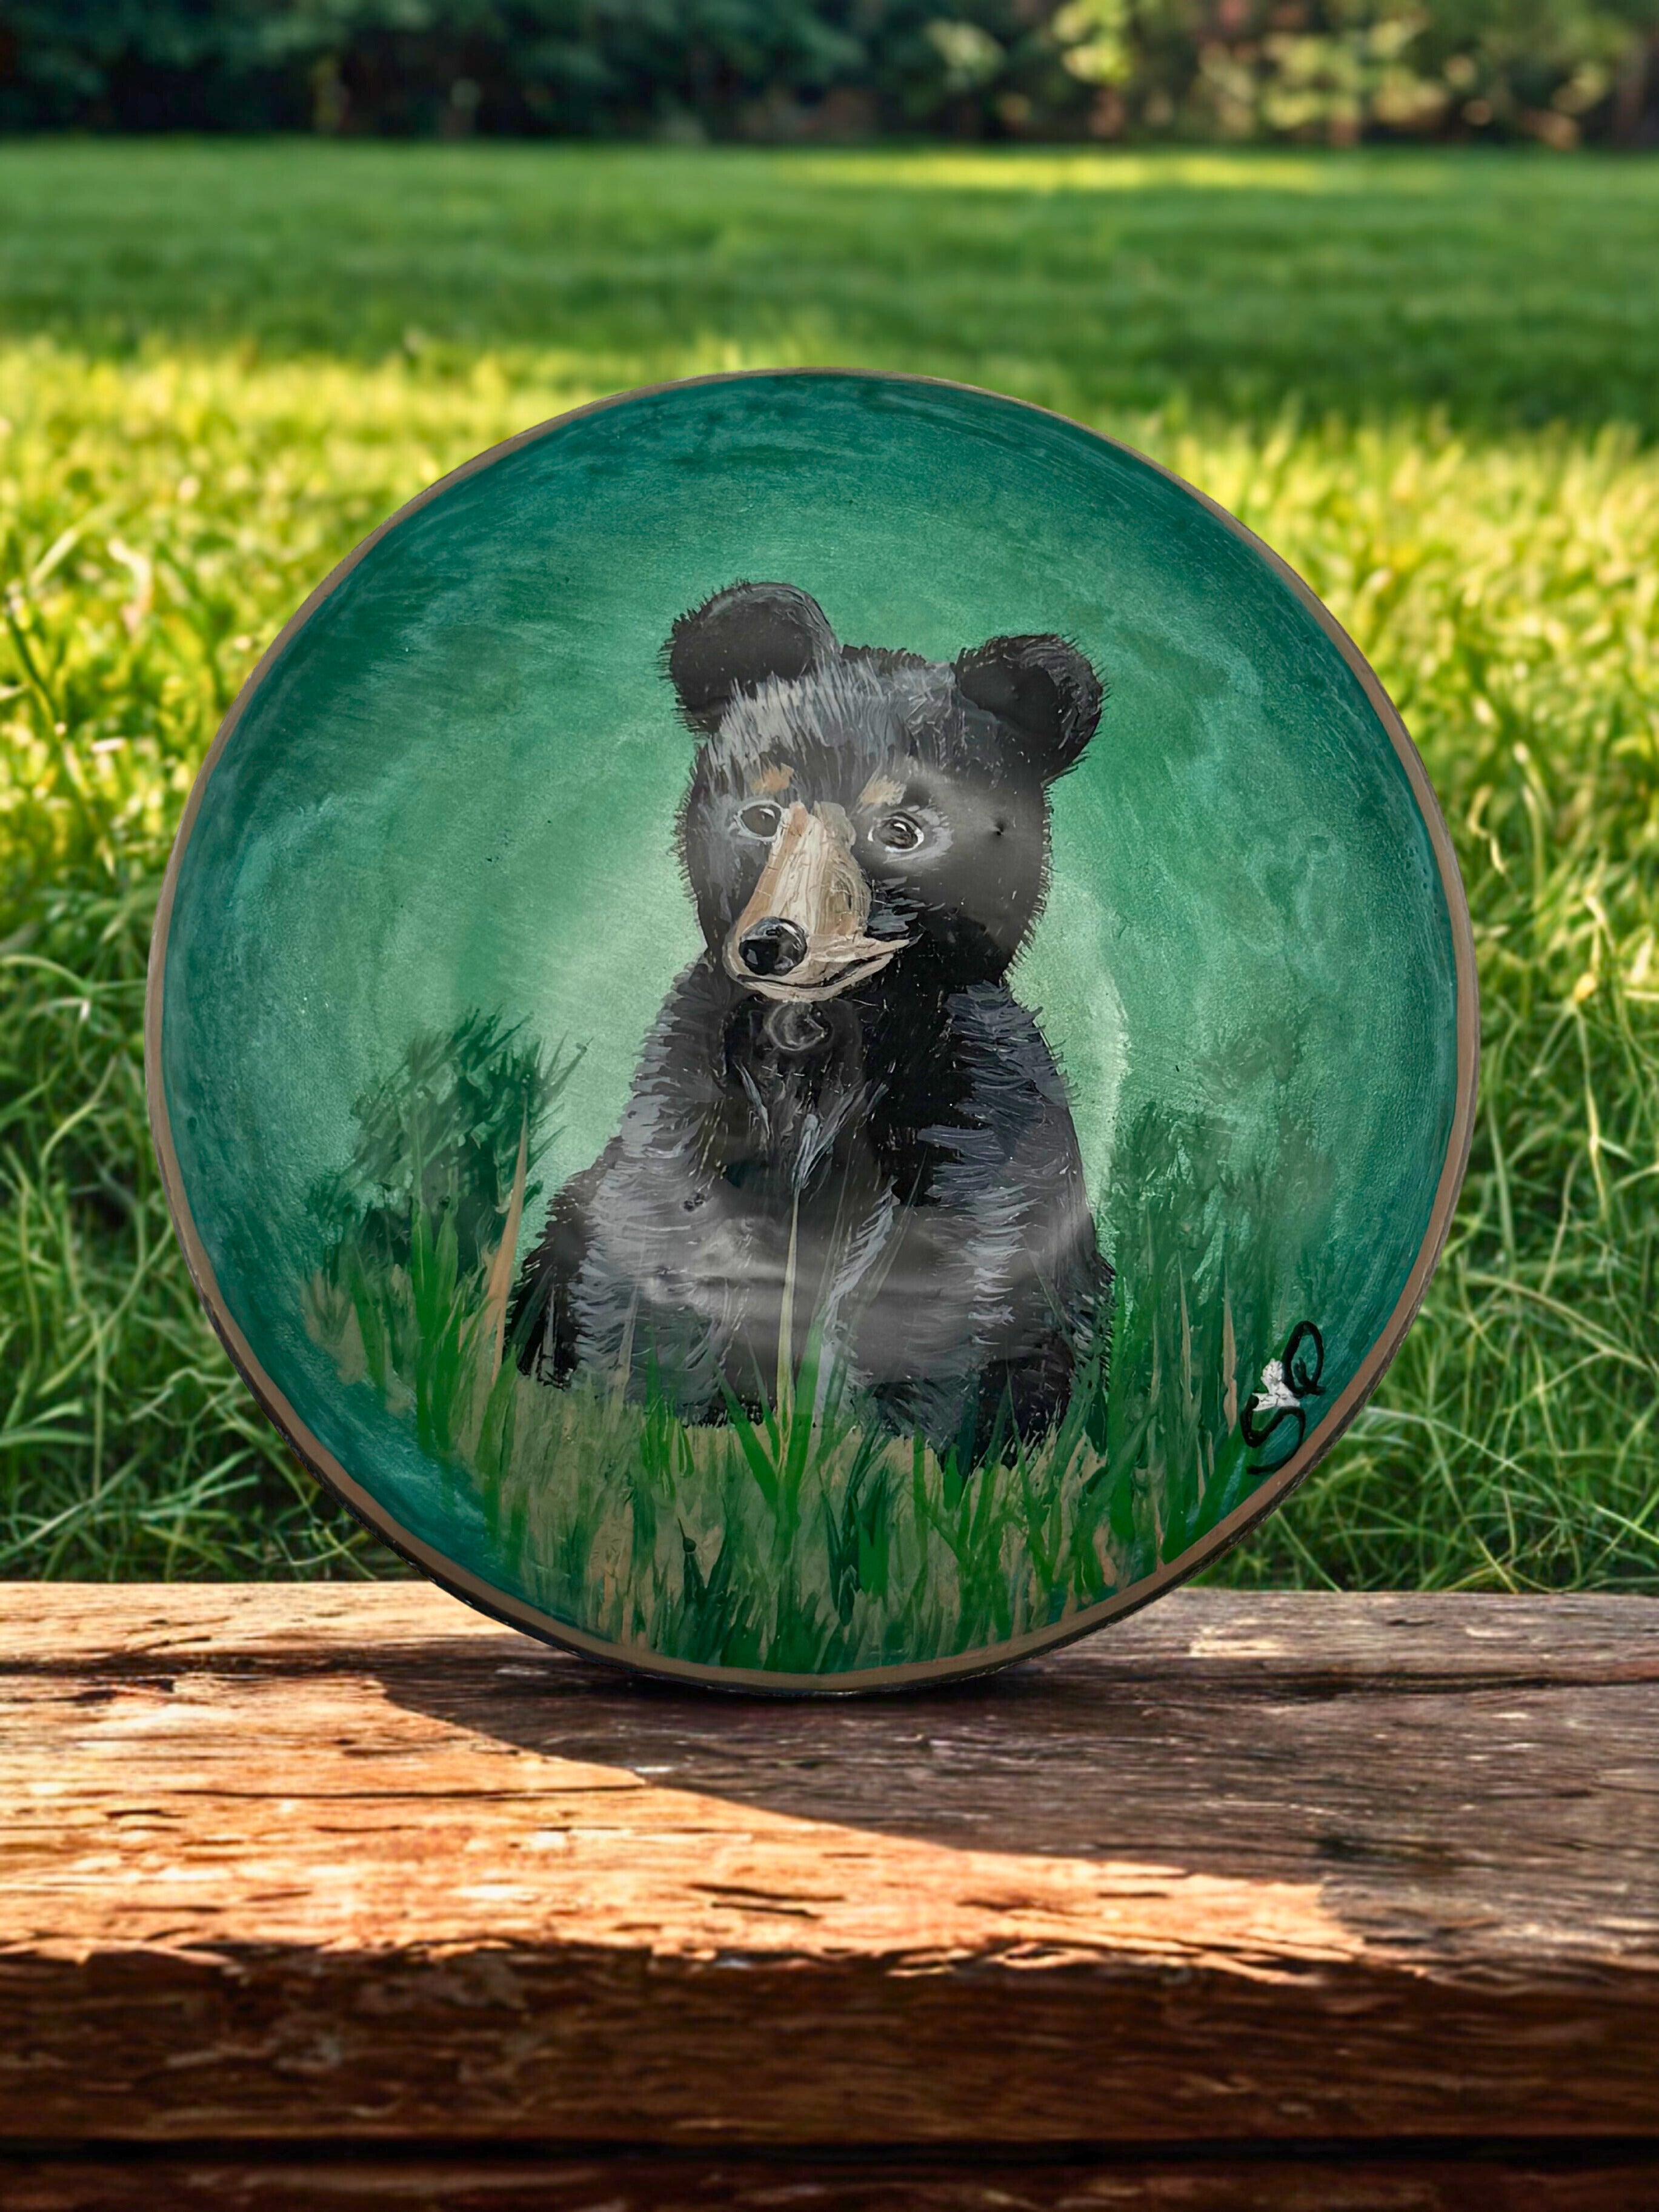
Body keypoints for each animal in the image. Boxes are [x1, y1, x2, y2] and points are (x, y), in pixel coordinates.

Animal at [510, 580, 1111, 1465]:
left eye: (901, 829)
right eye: (762, 814)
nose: (773, 942)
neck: (825, 1034)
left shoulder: (973, 1096)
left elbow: (949, 1277)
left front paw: (880, 1458)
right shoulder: (692, 1076)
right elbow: (662, 1234)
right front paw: (647, 1424)